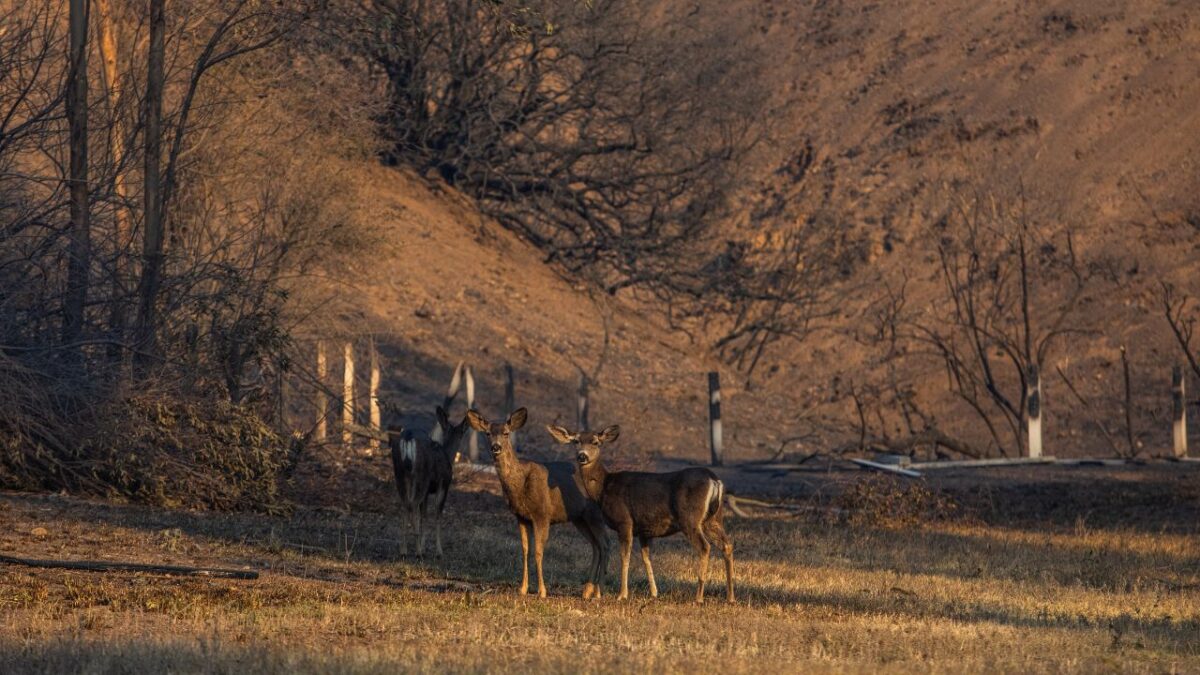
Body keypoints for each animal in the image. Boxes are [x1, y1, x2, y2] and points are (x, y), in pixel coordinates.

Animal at [391, 408, 470, 554]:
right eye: (462, 432)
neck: (447, 455)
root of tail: (408, 438)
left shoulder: (428, 490)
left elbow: (424, 516)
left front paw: (423, 545)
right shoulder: (443, 484)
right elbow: (437, 515)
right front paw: (438, 550)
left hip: (400, 474)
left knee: (405, 505)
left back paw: (404, 550)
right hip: (422, 476)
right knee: (412, 504)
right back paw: (418, 551)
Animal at [460, 408, 609, 595]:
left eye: (506, 433)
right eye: (487, 433)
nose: (496, 447)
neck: (520, 484)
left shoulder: (542, 514)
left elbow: (538, 551)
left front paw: (542, 591)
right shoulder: (522, 517)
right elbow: (525, 550)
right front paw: (522, 588)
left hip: (594, 514)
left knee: (605, 544)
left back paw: (597, 592)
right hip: (579, 518)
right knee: (596, 545)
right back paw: (587, 591)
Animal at [549, 422, 734, 600]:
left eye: (595, 442)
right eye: (576, 441)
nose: (582, 456)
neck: (603, 488)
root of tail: (715, 480)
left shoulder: (624, 520)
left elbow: (625, 556)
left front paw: (622, 594)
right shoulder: (645, 529)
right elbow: (647, 558)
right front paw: (654, 592)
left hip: (690, 518)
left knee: (704, 547)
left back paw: (699, 597)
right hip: (713, 519)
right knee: (727, 545)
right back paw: (730, 597)